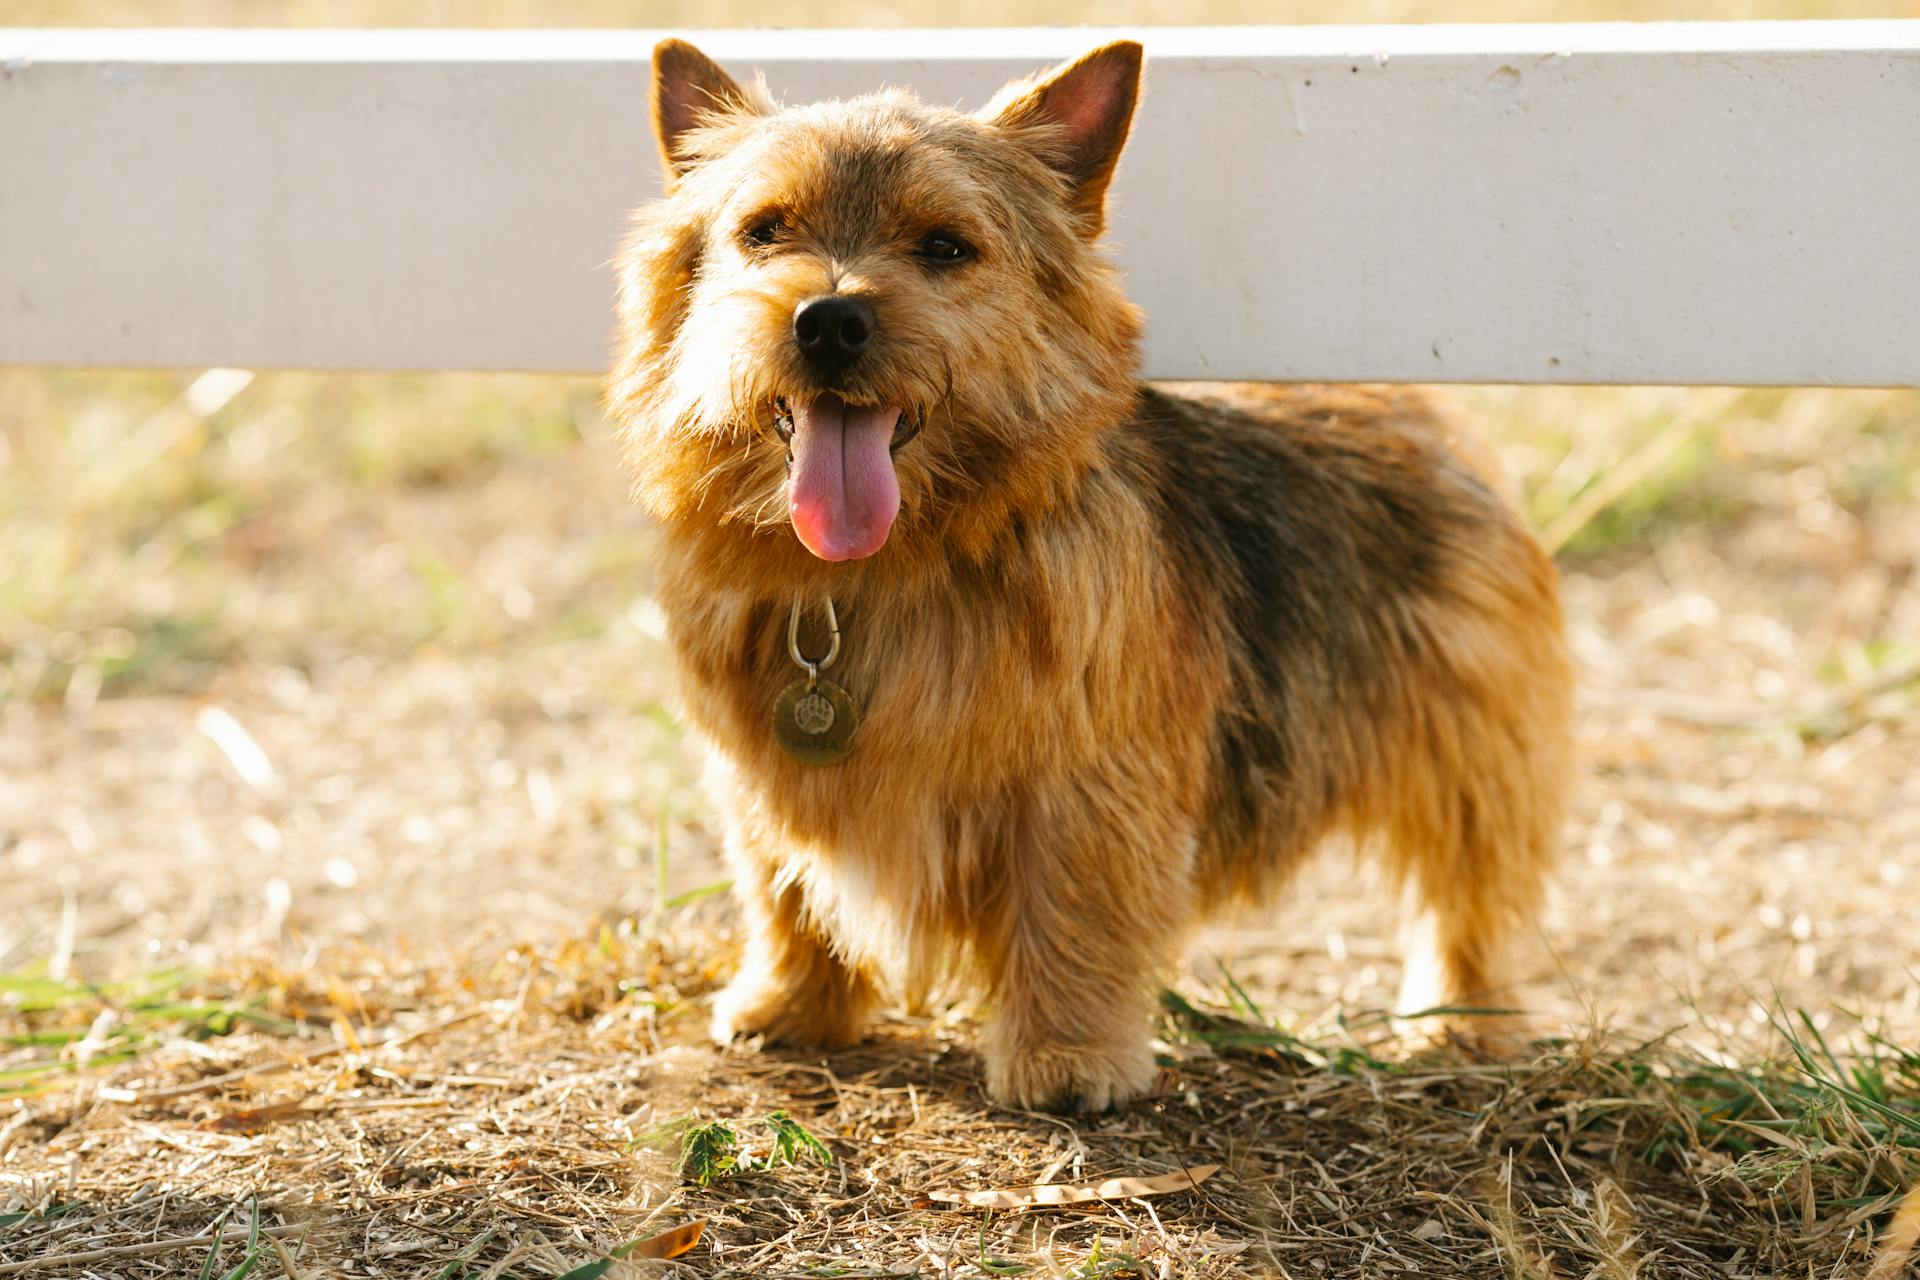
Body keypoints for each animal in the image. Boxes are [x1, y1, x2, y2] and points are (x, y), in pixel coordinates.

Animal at [614, 40, 1574, 1113]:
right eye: (763, 231)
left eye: (945, 246)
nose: (827, 320)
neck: (885, 568)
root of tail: (1407, 400)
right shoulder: (759, 772)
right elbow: (783, 888)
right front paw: (792, 1004)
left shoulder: (1088, 777)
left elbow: (1073, 904)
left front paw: (1065, 1055)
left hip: (1465, 738)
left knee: (1472, 885)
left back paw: (1464, 1019)